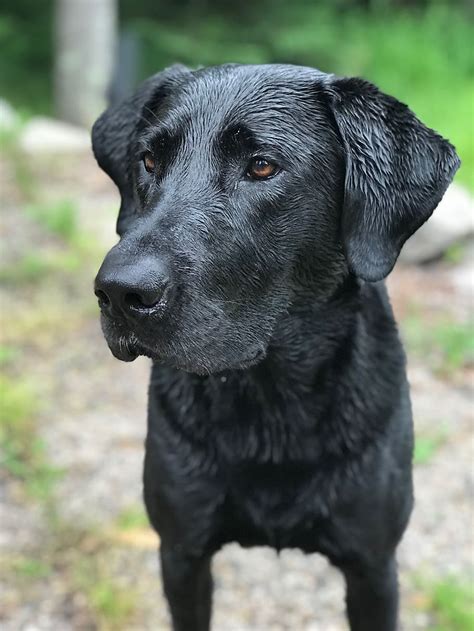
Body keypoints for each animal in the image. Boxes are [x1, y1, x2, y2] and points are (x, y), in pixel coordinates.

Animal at [92, 65, 460, 631]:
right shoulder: (181, 552)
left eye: (262, 166)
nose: (118, 292)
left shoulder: (373, 565)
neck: (271, 398)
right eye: (149, 160)